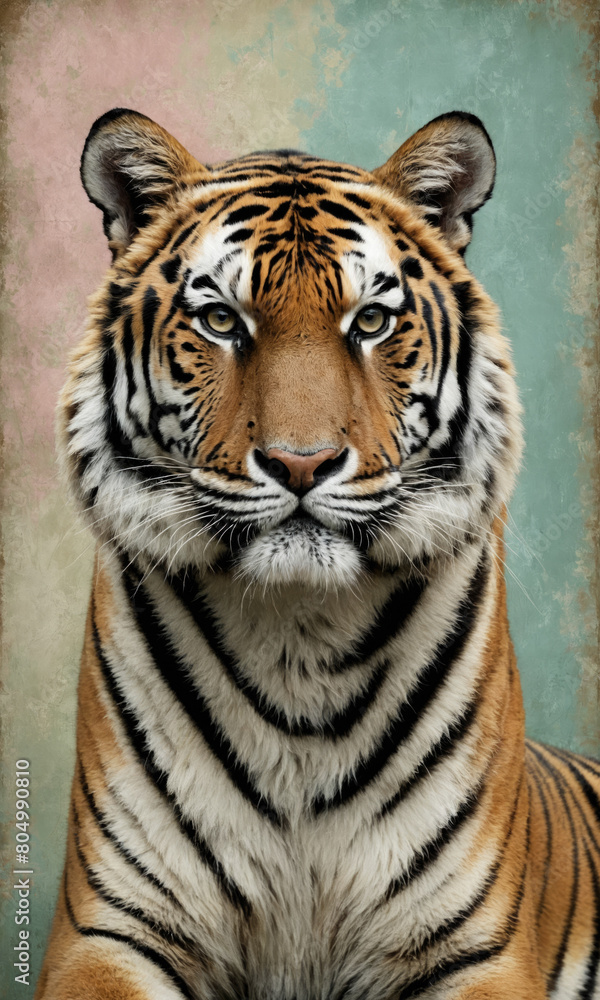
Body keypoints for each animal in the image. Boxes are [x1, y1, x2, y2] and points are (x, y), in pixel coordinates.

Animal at [35, 107, 600, 1000]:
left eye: (370, 322)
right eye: (222, 321)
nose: (302, 464)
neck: (298, 636)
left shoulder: (475, 944)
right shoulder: (108, 930)